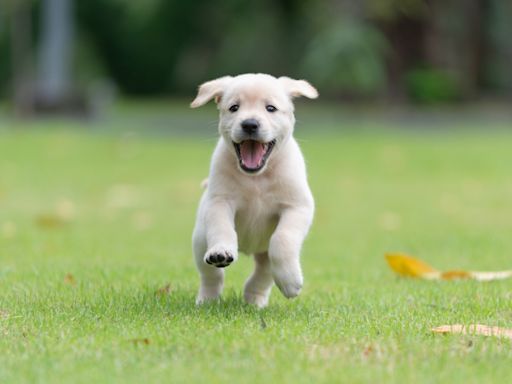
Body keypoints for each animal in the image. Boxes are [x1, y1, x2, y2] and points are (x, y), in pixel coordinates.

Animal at [190, 73, 318, 308]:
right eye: (234, 108)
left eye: (270, 108)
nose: (250, 124)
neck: (256, 179)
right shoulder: (219, 202)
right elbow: (222, 228)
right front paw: (221, 250)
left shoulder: (297, 206)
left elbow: (282, 239)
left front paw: (291, 282)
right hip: (200, 240)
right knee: (211, 275)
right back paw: (208, 298)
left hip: (264, 254)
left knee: (263, 274)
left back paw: (255, 299)